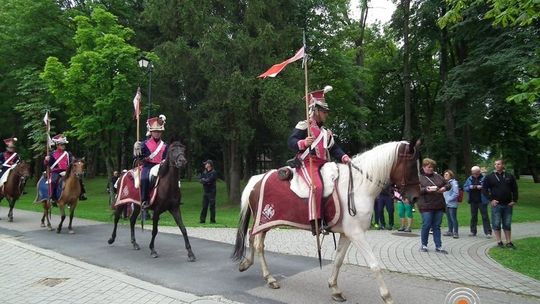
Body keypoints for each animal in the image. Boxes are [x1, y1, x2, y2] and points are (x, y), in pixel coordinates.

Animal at [232, 141, 422, 304]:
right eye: (412, 166)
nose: (415, 197)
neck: (358, 187)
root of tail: (256, 180)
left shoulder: (347, 234)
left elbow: (338, 260)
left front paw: (335, 289)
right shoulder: (357, 234)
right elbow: (374, 265)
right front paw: (387, 296)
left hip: (262, 222)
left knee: (252, 237)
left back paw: (246, 263)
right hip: (265, 220)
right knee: (258, 244)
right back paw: (269, 278)